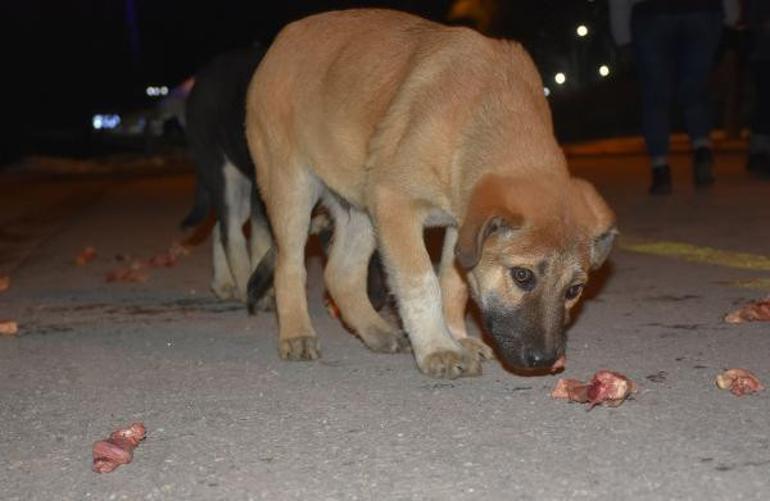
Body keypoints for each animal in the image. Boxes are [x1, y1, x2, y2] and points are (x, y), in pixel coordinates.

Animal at [246, 9, 616, 376]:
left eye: (574, 290)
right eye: (522, 276)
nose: (544, 360)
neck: (481, 116)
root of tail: (285, 36)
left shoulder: (460, 224)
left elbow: (453, 283)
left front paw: (457, 337)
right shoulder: (396, 204)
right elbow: (421, 282)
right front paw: (440, 348)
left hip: (362, 207)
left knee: (341, 274)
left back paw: (376, 331)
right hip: (292, 187)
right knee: (290, 265)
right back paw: (297, 333)